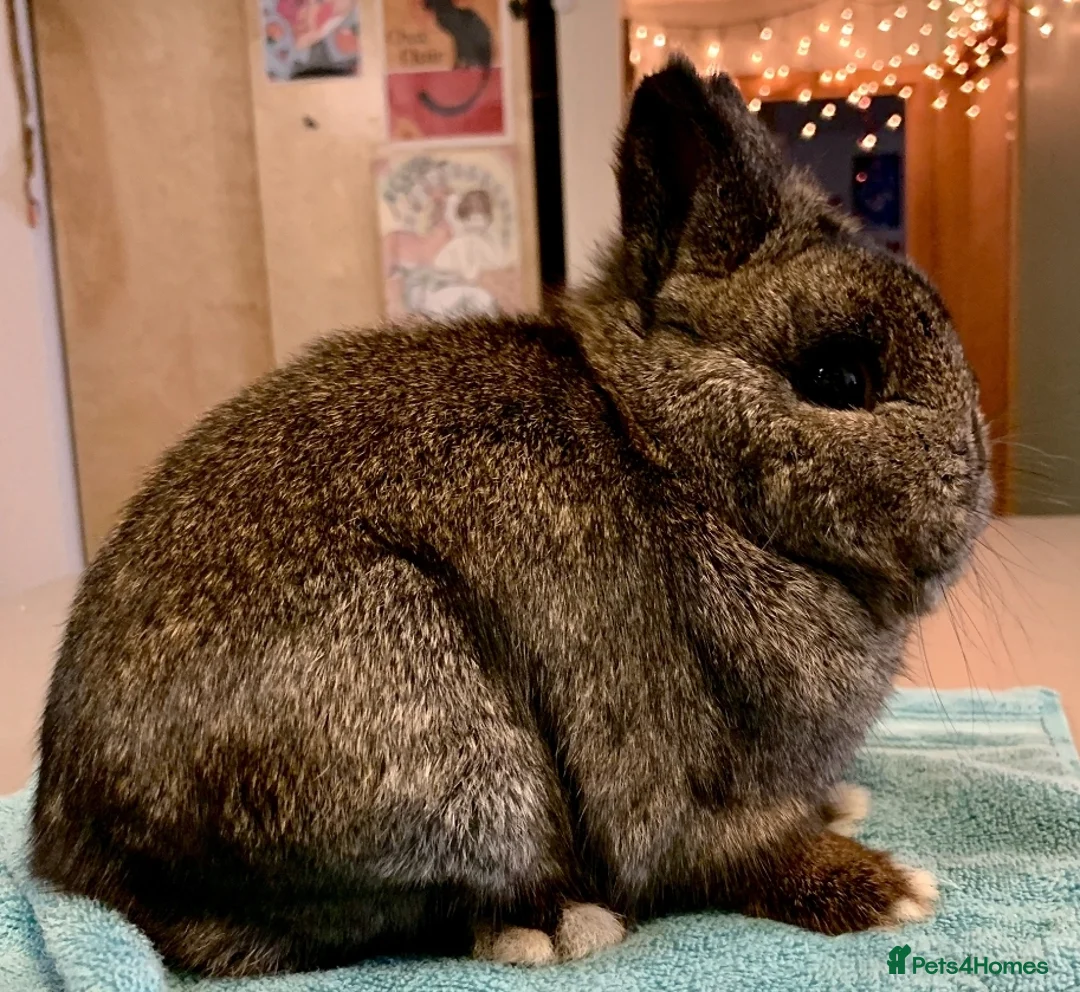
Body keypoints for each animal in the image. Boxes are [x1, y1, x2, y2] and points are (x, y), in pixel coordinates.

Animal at [30, 56, 991, 977]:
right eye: (837, 378)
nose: (974, 497)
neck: (671, 456)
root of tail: (71, 854)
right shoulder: (685, 786)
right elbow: (735, 857)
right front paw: (892, 892)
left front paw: (845, 804)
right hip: (433, 732)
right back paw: (554, 926)